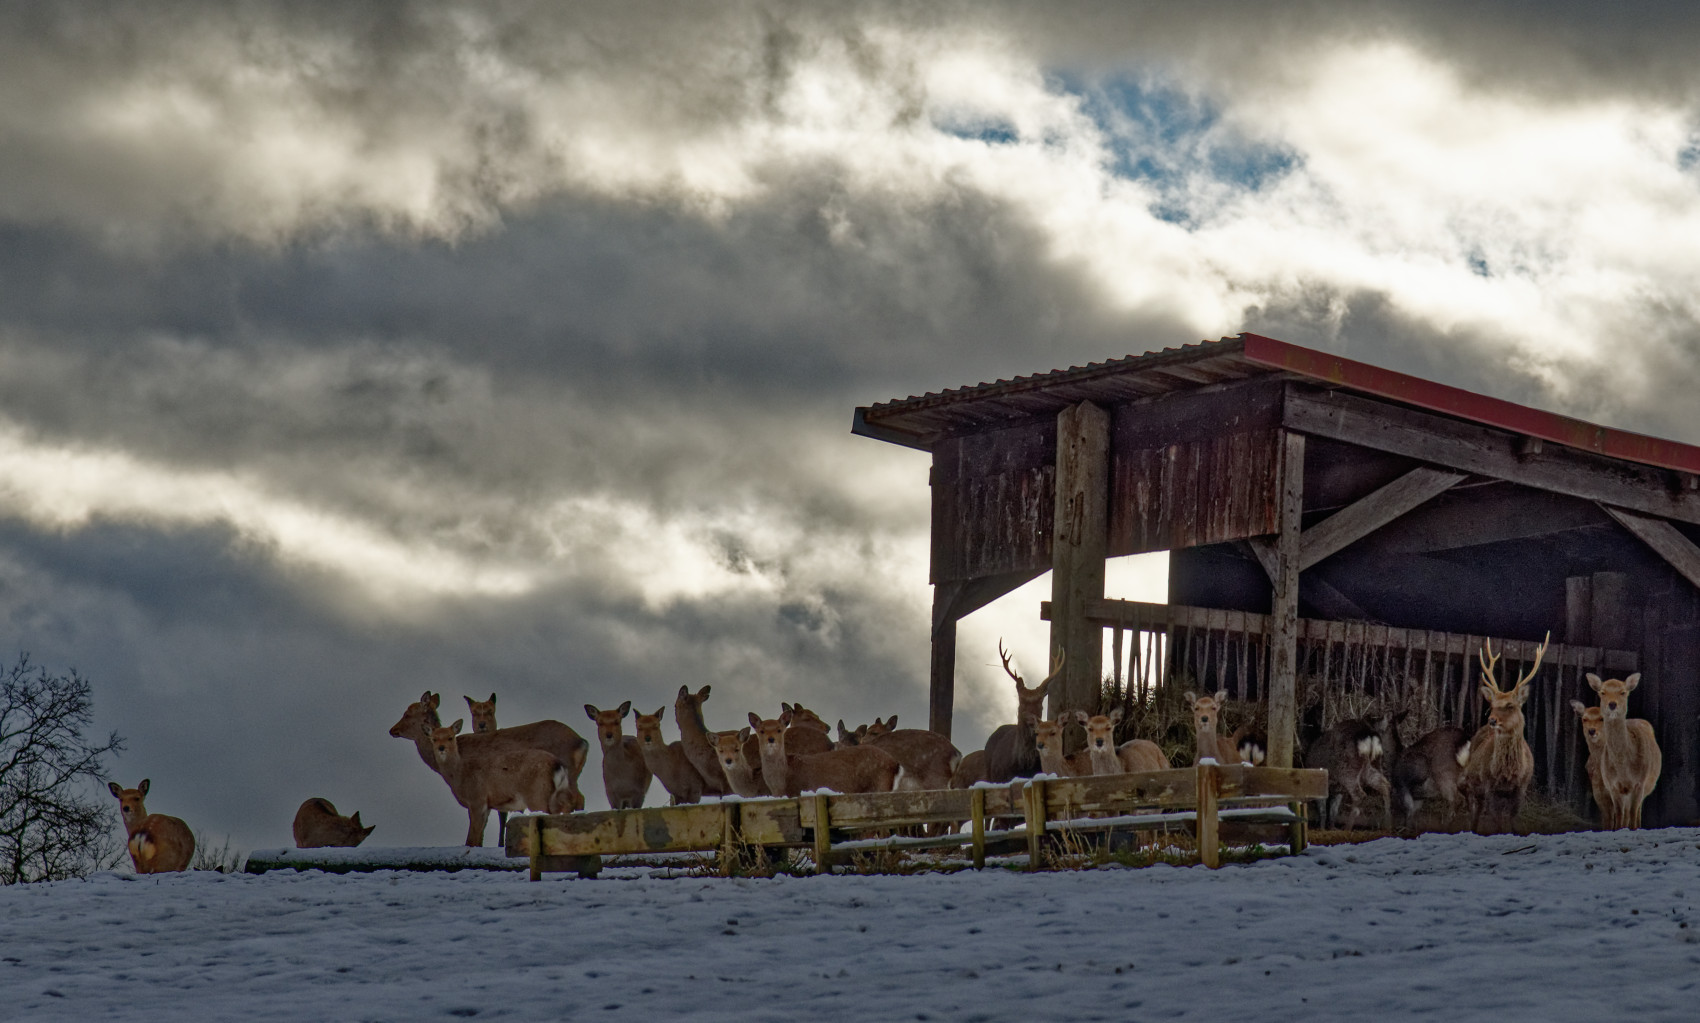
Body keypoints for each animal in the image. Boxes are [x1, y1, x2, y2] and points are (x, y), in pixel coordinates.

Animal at [431, 713, 578, 839]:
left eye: (450, 737)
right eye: (434, 739)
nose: (441, 748)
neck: (459, 776)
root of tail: (557, 764)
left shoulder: (477, 800)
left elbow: (473, 838)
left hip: (537, 795)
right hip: (556, 793)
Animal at [1455, 632, 1550, 832]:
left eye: (1510, 705)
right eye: (1492, 705)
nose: (1492, 720)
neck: (1508, 773)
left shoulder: (1521, 787)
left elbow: (1513, 820)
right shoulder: (1489, 785)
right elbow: (1497, 821)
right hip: (1468, 779)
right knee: (1471, 807)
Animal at [1584, 669, 1666, 829]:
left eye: (1623, 692)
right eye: (1602, 692)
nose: (1612, 704)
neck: (1624, 769)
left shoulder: (1639, 782)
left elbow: (1634, 812)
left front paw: (1633, 829)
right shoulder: (1613, 785)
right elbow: (1619, 814)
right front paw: (1619, 829)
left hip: (1648, 785)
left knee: (1637, 810)